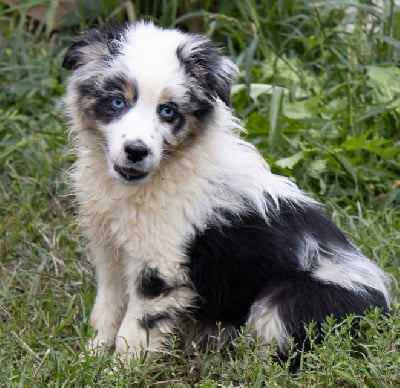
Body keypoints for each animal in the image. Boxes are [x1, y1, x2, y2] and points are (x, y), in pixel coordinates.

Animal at [63, 21, 390, 360]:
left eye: (168, 111)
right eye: (117, 102)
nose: (136, 152)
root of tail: (383, 315)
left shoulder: (160, 266)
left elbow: (136, 331)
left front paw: (119, 368)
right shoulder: (109, 251)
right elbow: (107, 309)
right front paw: (91, 358)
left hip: (287, 300)